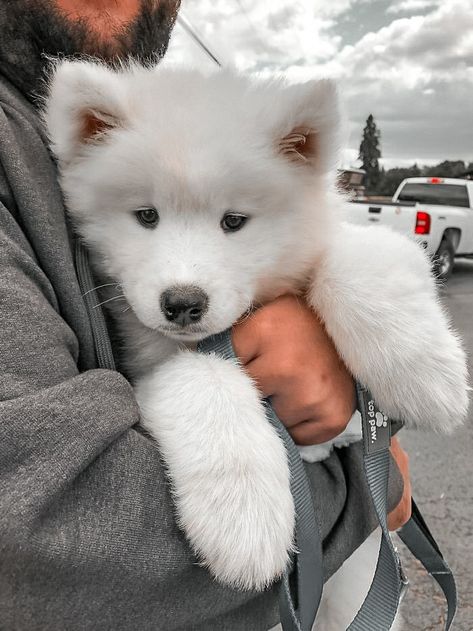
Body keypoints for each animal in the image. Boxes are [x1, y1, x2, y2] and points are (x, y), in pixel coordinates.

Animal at [44, 64, 468, 604]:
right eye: (146, 216)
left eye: (234, 221)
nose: (182, 303)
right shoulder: (149, 359)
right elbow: (205, 381)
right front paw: (244, 519)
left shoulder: (352, 240)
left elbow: (361, 261)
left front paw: (427, 380)